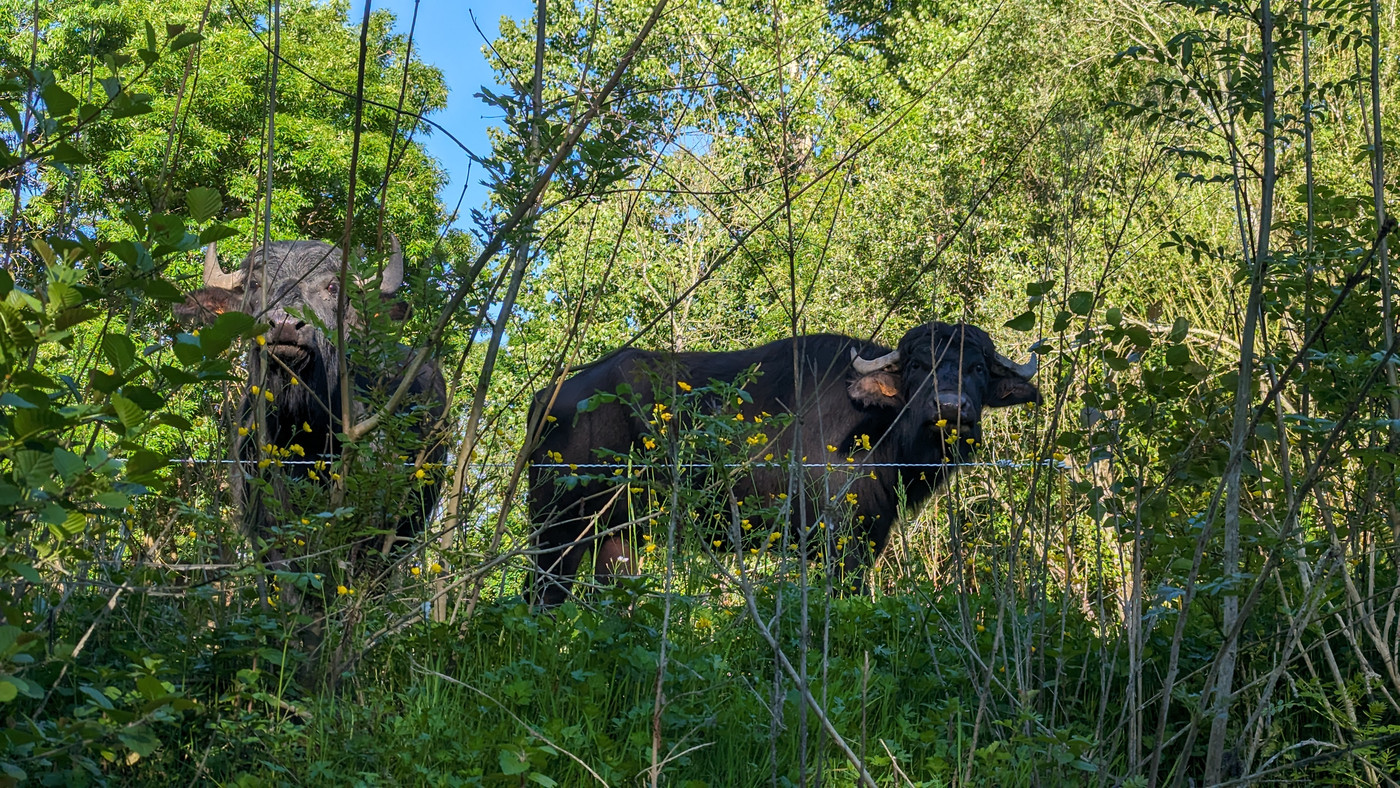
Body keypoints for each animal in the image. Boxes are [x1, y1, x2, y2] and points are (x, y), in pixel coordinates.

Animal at [526, 320, 1041, 604]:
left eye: (978, 368)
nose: (951, 408)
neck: (881, 428)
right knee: (542, 593)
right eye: (918, 366)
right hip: (557, 525)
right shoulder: (842, 541)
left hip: (615, 534)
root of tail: (552, 396)